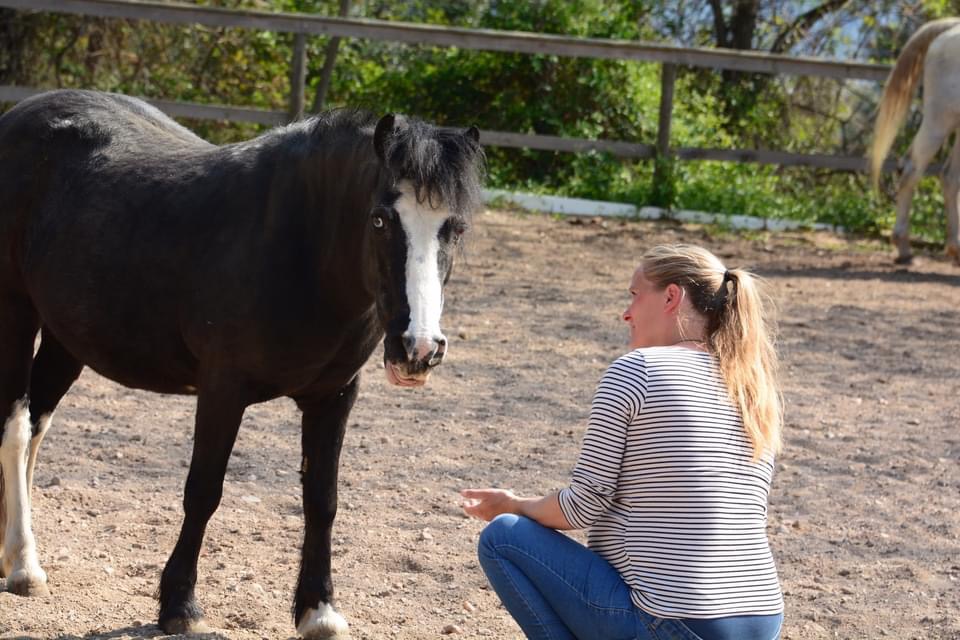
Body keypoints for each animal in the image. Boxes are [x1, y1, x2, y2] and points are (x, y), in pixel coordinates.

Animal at [0, 89, 480, 636]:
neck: (297, 244)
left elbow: (322, 500)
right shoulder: (223, 390)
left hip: (67, 338)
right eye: (380, 219)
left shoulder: (334, 397)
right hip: (16, 314)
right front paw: (179, 606)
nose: (418, 349)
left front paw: (319, 609)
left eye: (456, 227)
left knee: (37, 425)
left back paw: (14, 553)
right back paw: (24, 566)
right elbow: (203, 491)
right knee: (16, 430)